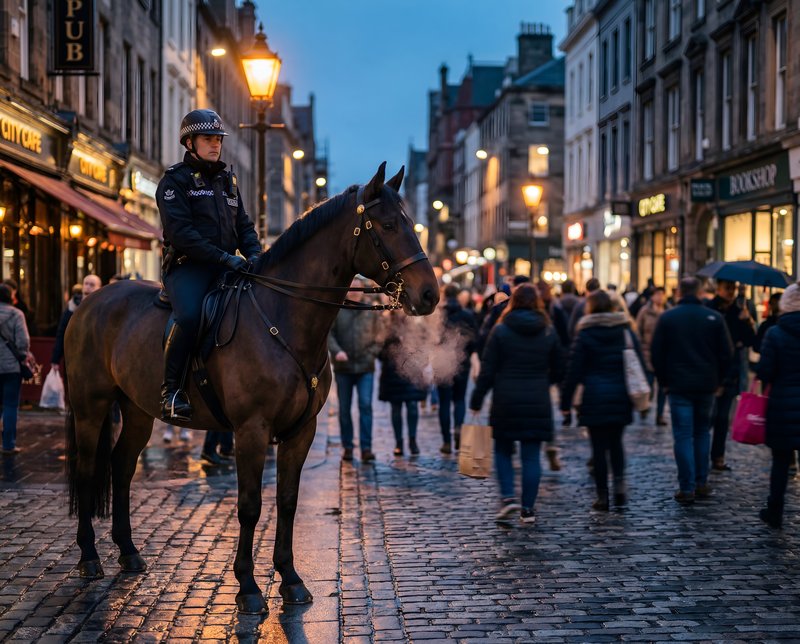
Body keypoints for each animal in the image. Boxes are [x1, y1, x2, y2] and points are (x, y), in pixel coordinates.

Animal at [64, 162, 439, 614]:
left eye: (412, 224)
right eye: (387, 225)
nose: (430, 294)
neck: (285, 319)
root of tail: (92, 301)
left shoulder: (301, 431)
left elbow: (288, 501)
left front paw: (290, 578)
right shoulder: (251, 431)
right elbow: (249, 506)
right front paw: (248, 585)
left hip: (137, 410)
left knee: (121, 466)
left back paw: (129, 551)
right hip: (90, 407)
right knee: (87, 471)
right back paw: (89, 556)